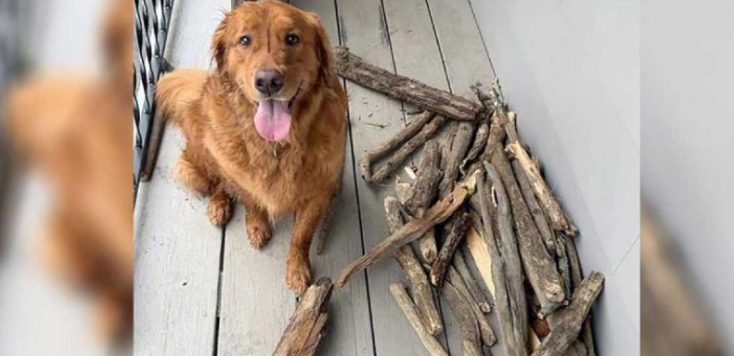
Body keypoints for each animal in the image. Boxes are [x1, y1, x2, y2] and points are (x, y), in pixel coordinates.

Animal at [157, 0, 346, 294]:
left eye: (292, 38)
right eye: (244, 40)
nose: (268, 81)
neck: (277, 146)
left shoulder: (319, 191)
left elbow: (302, 235)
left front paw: (297, 269)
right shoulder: (241, 177)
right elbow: (251, 201)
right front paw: (257, 225)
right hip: (200, 164)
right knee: (217, 182)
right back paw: (219, 205)